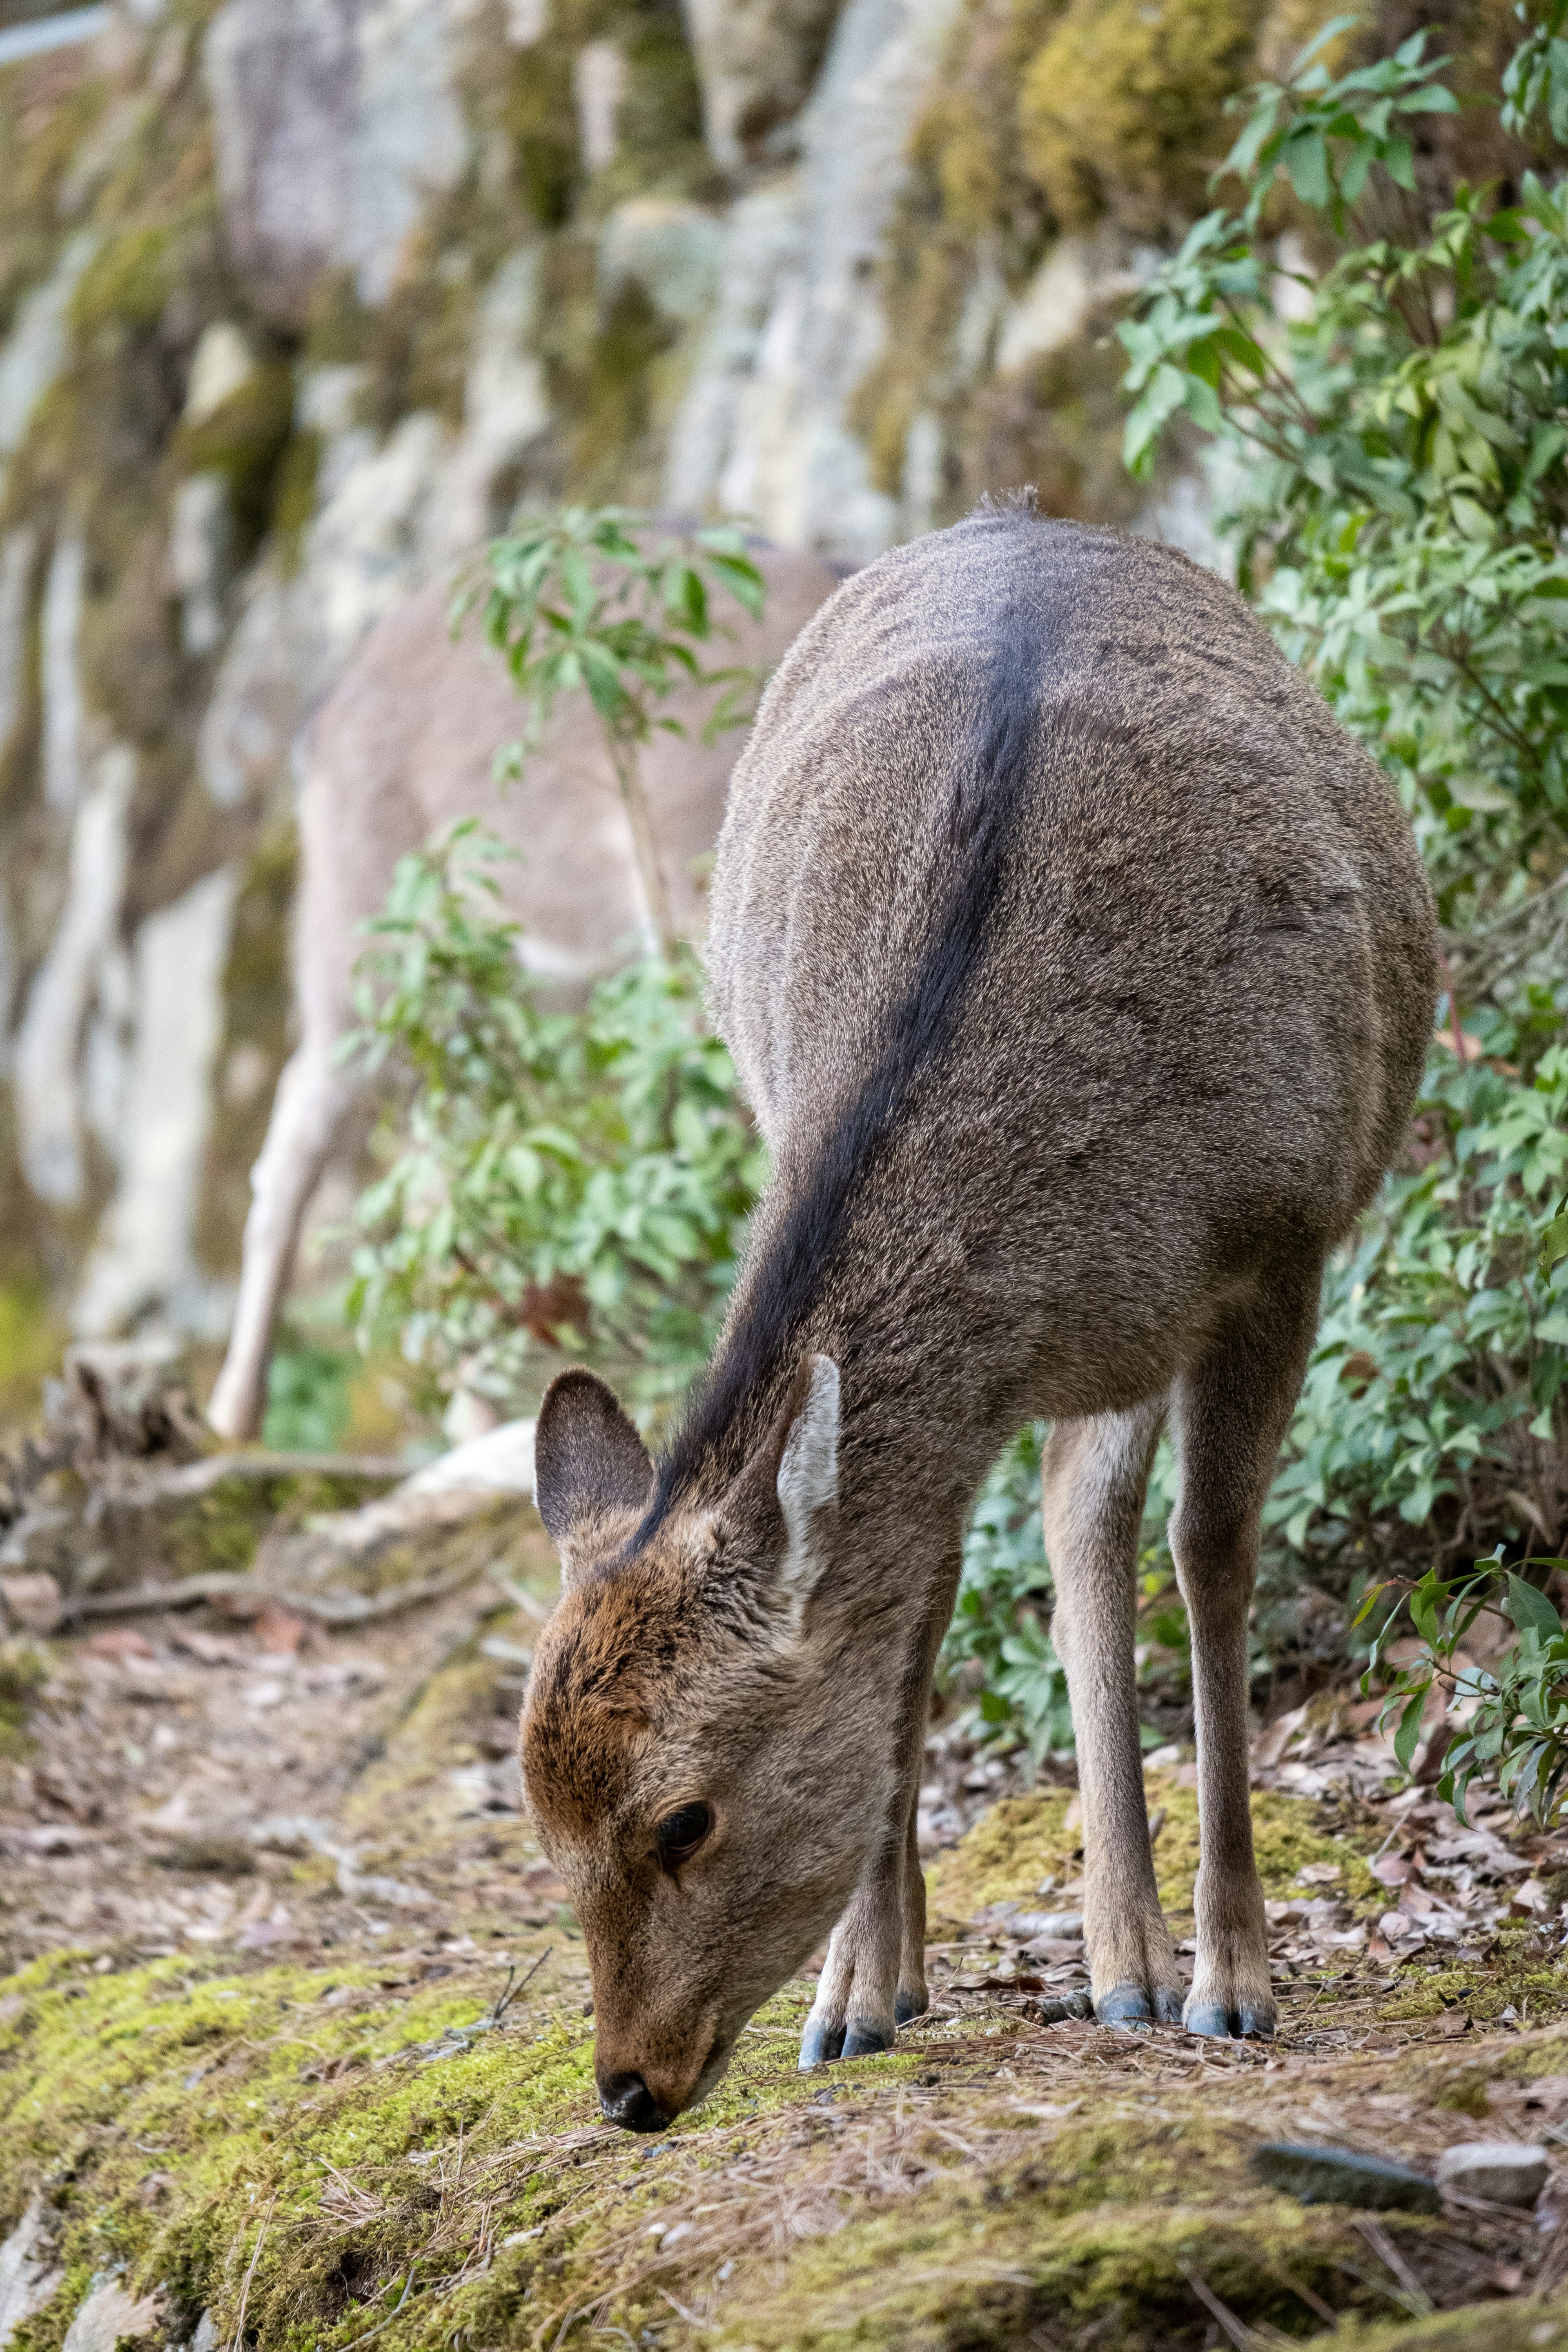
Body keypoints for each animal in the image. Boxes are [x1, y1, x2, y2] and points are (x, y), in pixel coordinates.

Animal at [210, 541, 851, 1439]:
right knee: (302, 1124)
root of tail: (318, 725)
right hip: (361, 929)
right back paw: (237, 1411)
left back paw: (473, 1412)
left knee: (442, 1157)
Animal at [522, 496, 1439, 2136]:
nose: (626, 2086)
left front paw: (1237, 1976)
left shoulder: (1282, 1239)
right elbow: (910, 1607)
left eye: (684, 1817)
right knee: (1031, 1527)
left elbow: (1213, 1554)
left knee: (1094, 1516)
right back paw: (956, 1972)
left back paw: (1134, 1959)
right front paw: (855, 1992)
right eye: (544, 1836)